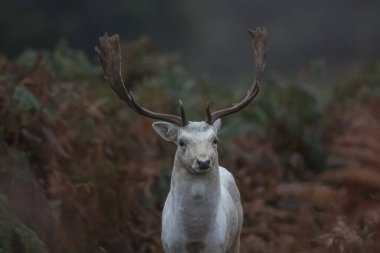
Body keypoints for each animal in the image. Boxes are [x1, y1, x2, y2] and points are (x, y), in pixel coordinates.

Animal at [95, 26, 268, 252]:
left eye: (215, 140)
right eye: (181, 142)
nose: (203, 161)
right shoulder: (169, 245)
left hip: (236, 237)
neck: (195, 240)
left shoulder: (218, 246)